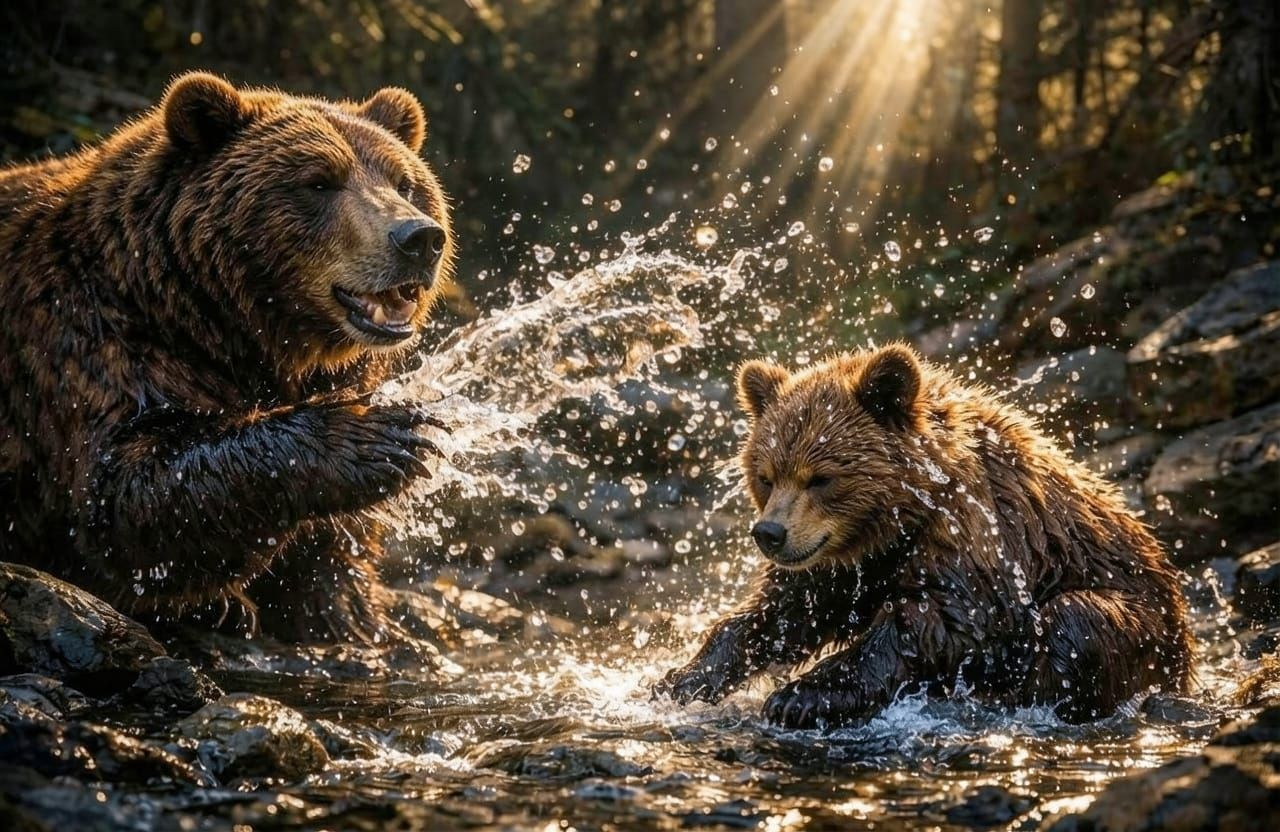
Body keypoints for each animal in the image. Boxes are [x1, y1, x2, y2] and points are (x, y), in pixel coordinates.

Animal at [0, 72, 455, 644]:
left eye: (404, 182)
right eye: (319, 181)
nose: (419, 238)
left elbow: (334, 551)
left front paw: (356, 619)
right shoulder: (89, 341)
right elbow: (126, 494)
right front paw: (378, 433)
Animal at [655, 344, 1194, 726]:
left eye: (821, 477)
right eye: (766, 475)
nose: (769, 533)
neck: (900, 516)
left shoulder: (974, 533)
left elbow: (936, 620)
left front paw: (799, 697)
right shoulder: (844, 562)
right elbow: (785, 609)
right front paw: (683, 678)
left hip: (1142, 614)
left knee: (1076, 623)